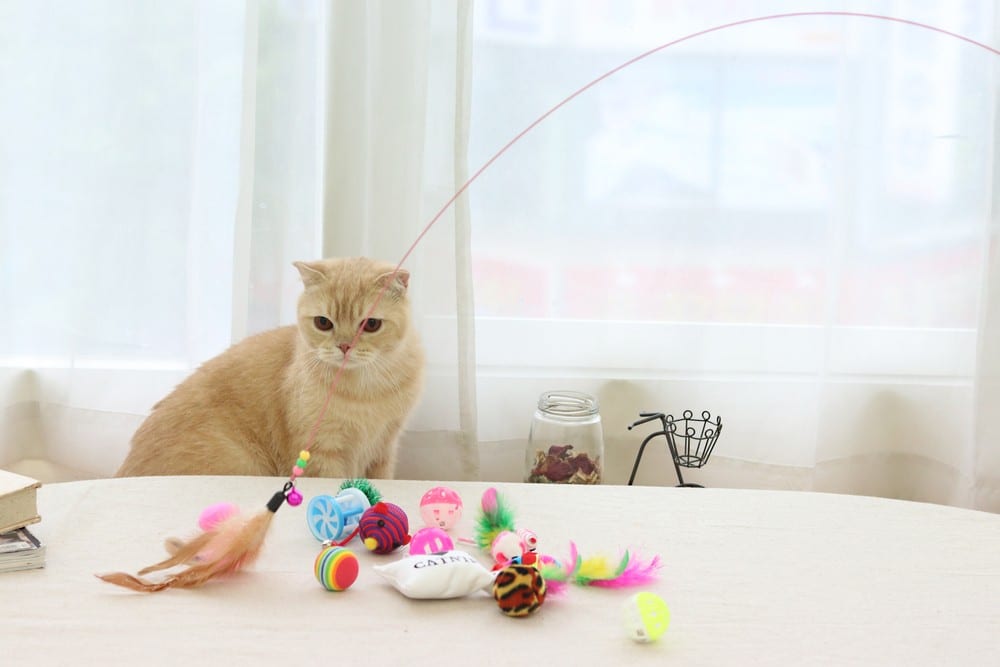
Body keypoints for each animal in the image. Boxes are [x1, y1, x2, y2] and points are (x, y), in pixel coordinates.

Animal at [115, 256, 424, 480]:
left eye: (371, 324)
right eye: (323, 322)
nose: (344, 346)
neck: (366, 390)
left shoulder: (383, 450)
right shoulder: (320, 454)